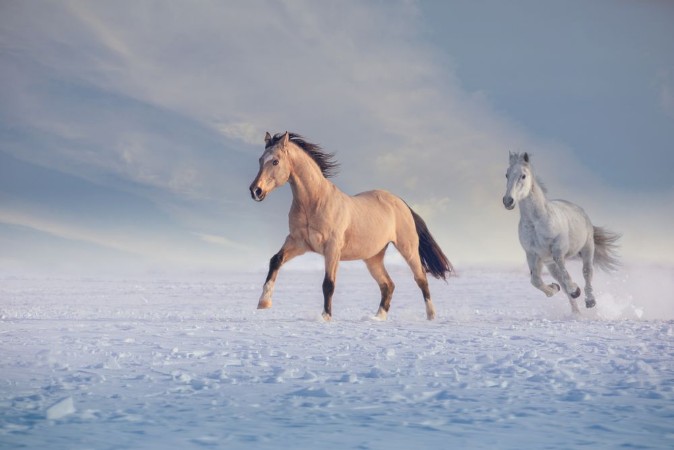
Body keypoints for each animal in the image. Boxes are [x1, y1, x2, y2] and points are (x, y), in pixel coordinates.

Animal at [249, 131, 454, 321]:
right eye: (260, 160)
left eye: (275, 161)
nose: (255, 191)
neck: (314, 202)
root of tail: (401, 202)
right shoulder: (298, 242)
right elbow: (275, 260)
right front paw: (263, 303)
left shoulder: (332, 248)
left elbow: (328, 284)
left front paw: (326, 317)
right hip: (373, 258)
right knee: (388, 285)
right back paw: (377, 318)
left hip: (408, 248)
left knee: (421, 279)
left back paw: (431, 316)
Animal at [502, 152, 621, 313]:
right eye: (506, 175)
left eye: (523, 176)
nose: (508, 201)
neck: (536, 222)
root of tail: (579, 209)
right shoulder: (533, 254)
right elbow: (536, 281)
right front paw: (555, 288)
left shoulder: (558, 249)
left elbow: (566, 273)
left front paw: (575, 289)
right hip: (550, 264)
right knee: (562, 283)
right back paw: (576, 312)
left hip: (587, 248)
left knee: (587, 272)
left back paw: (589, 301)